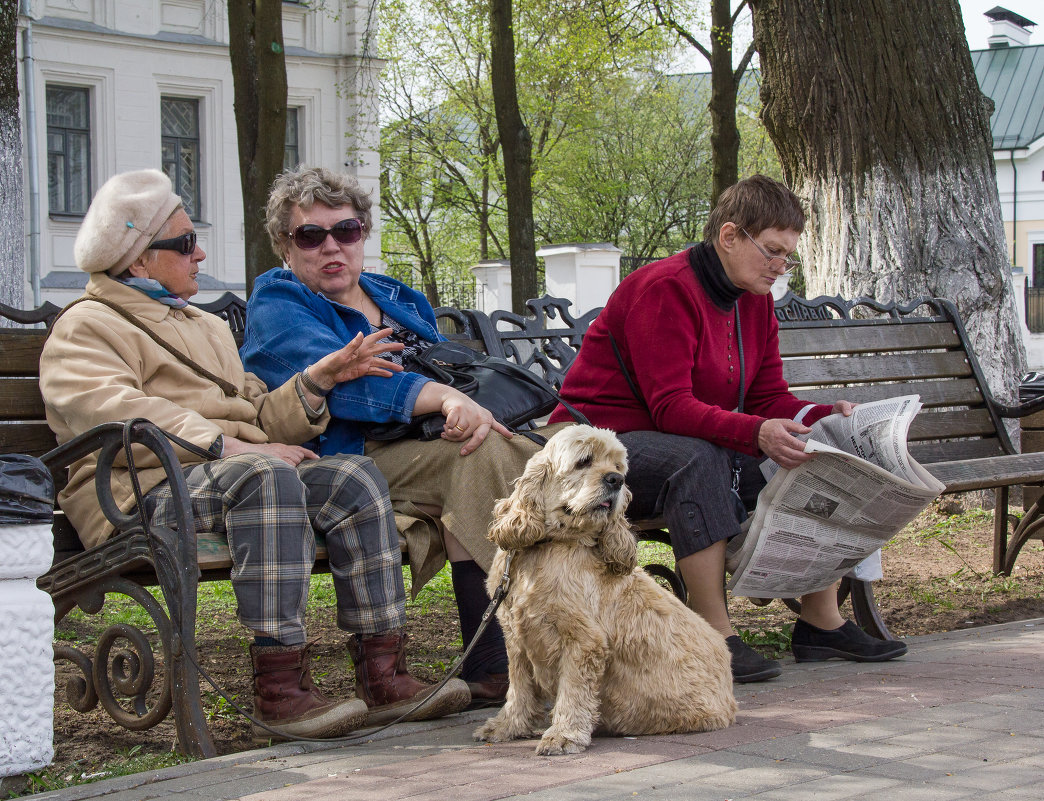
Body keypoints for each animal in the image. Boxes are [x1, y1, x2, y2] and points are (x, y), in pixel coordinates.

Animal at [473, 426, 734, 760]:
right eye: (584, 461)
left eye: (619, 467)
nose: (616, 480)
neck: (551, 545)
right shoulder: (517, 639)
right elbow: (518, 688)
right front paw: (508, 726)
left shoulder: (583, 641)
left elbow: (573, 692)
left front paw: (563, 735)